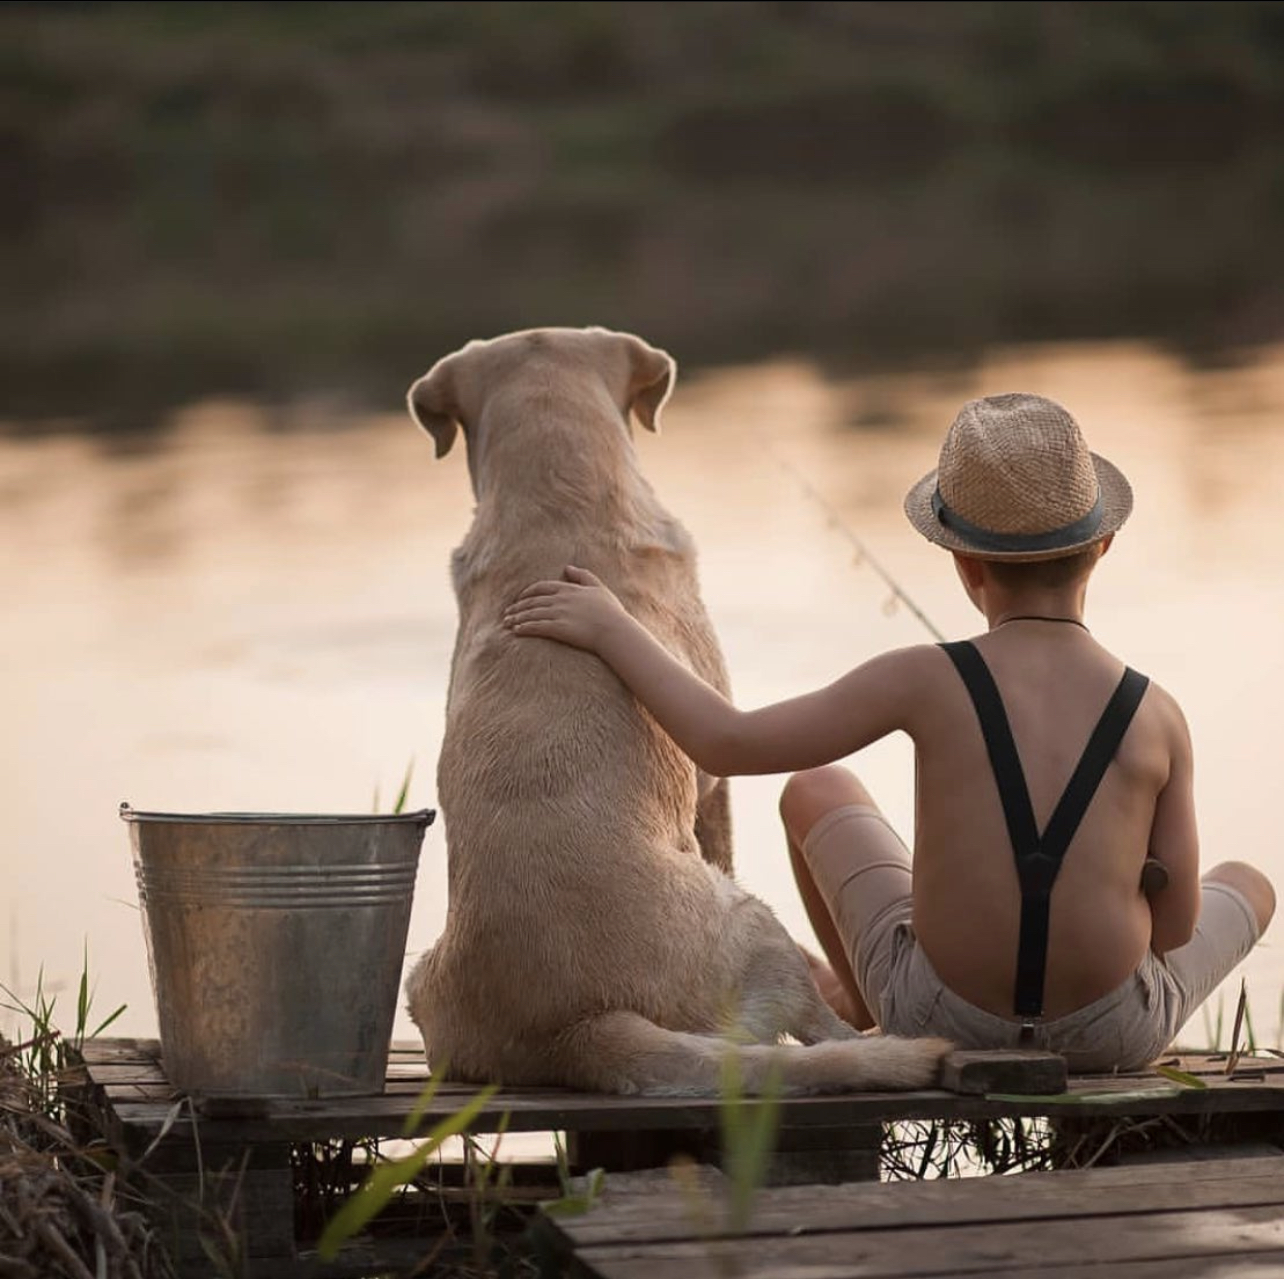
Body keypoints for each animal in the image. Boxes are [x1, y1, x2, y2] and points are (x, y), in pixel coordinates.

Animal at [405, 324, 950, 1094]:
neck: (557, 507)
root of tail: (574, 1027)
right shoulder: (715, 782)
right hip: (753, 920)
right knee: (818, 1030)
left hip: (420, 982)